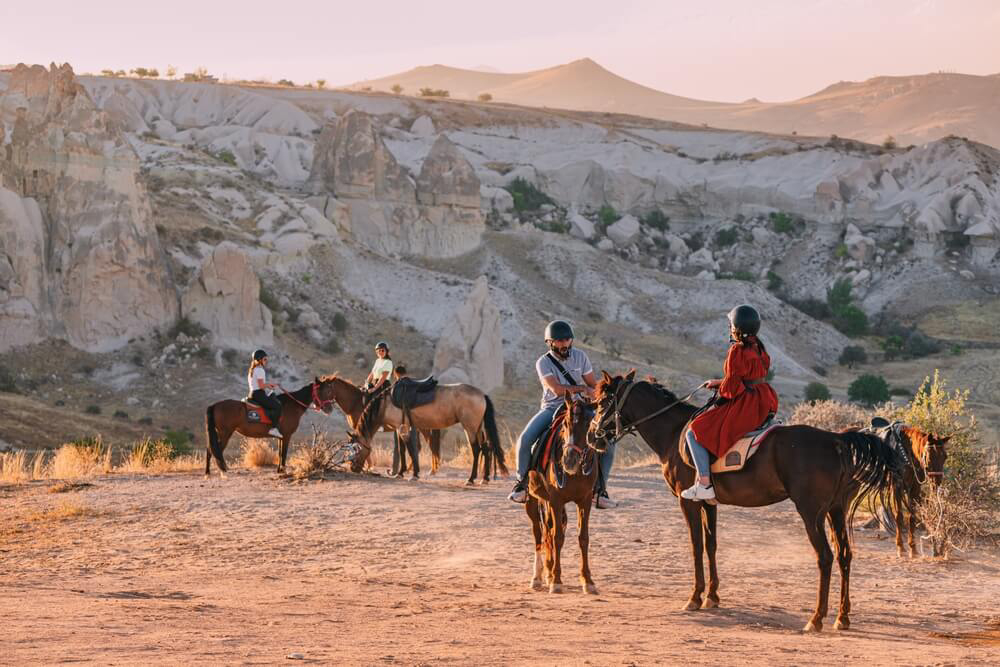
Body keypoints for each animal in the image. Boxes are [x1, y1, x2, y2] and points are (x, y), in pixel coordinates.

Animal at [204, 376, 340, 474]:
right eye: (323, 391)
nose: (329, 409)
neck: (291, 405)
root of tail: (215, 405)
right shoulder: (287, 435)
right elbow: (283, 453)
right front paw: (283, 471)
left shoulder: (281, 436)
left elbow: (280, 453)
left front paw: (279, 470)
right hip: (225, 433)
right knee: (215, 450)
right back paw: (221, 470)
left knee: (210, 449)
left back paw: (208, 472)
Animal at [528, 396, 596, 596]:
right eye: (565, 424)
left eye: (588, 424)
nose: (569, 460)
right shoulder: (556, 500)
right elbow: (557, 537)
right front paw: (557, 581)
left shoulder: (585, 500)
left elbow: (583, 538)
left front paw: (588, 581)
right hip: (533, 501)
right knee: (539, 533)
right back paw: (538, 577)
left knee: (547, 532)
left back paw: (548, 572)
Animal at [588, 374, 912, 636]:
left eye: (603, 401)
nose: (593, 436)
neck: (674, 431)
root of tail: (836, 440)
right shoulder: (708, 503)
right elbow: (711, 545)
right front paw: (713, 596)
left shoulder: (687, 502)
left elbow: (695, 546)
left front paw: (695, 597)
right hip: (836, 510)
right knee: (845, 555)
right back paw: (842, 617)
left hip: (812, 513)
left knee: (825, 557)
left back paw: (816, 618)